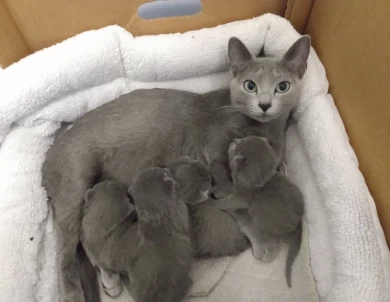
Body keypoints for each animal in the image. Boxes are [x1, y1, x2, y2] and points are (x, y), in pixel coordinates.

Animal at [210, 137, 304, 288]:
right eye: (241, 140)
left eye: (236, 147)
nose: (234, 140)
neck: (262, 183)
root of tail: (297, 226)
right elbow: (228, 187)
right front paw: (218, 190)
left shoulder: (241, 197)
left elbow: (226, 202)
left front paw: (210, 200)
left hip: (261, 220)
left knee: (271, 242)